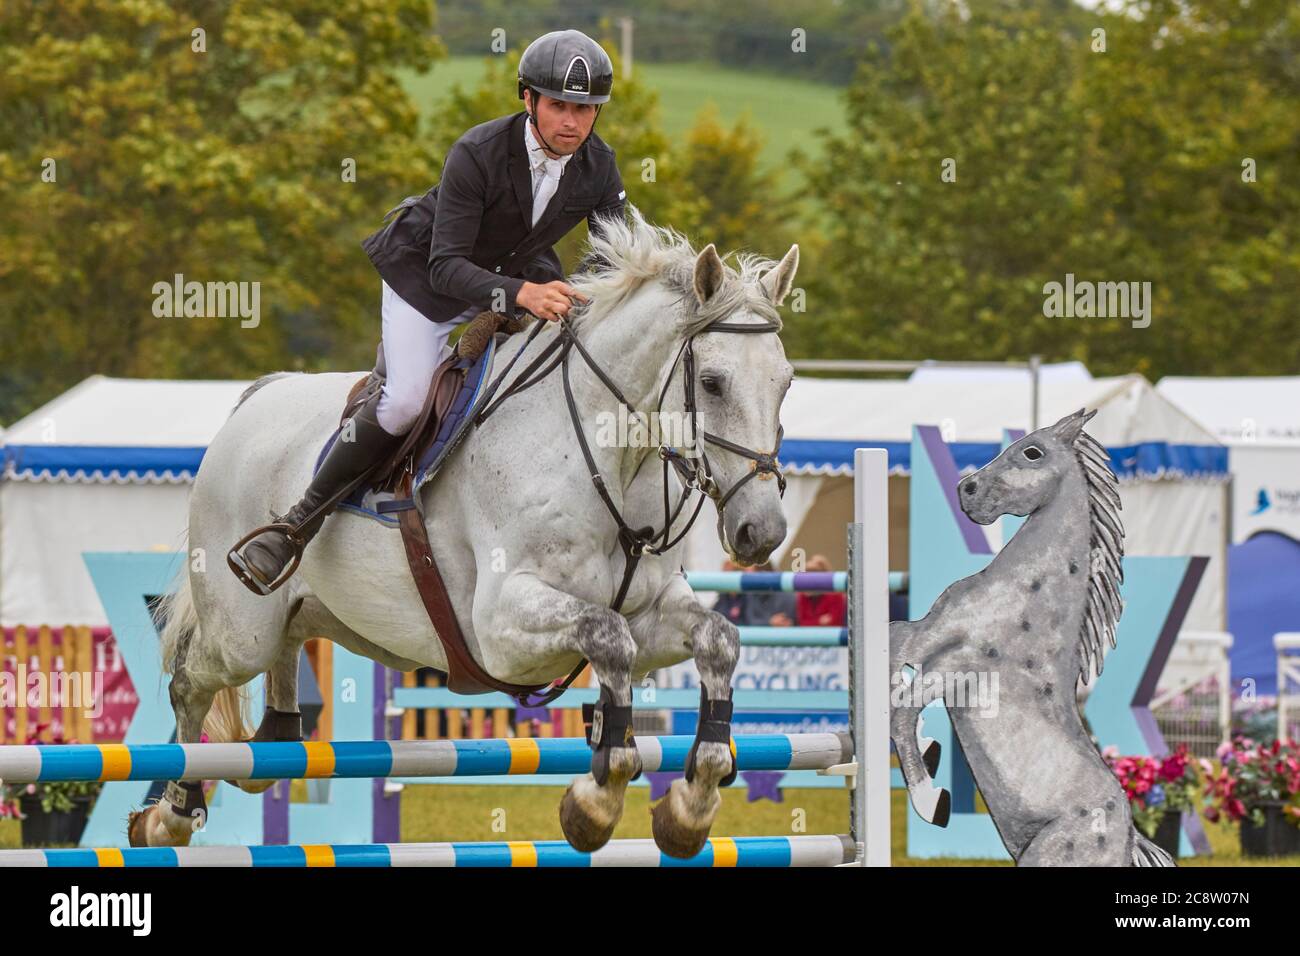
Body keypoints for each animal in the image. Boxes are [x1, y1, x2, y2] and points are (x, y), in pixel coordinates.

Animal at [134, 210, 800, 858]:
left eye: (788, 382)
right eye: (711, 382)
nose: (761, 532)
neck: (606, 455)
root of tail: (258, 397)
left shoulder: (653, 609)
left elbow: (716, 640)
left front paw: (690, 808)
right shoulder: (500, 628)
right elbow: (607, 639)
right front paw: (594, 806)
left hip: (301, 615)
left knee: (281, 666)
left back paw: (270, 743)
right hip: (240, 631)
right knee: (190, 683)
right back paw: (169, 815)